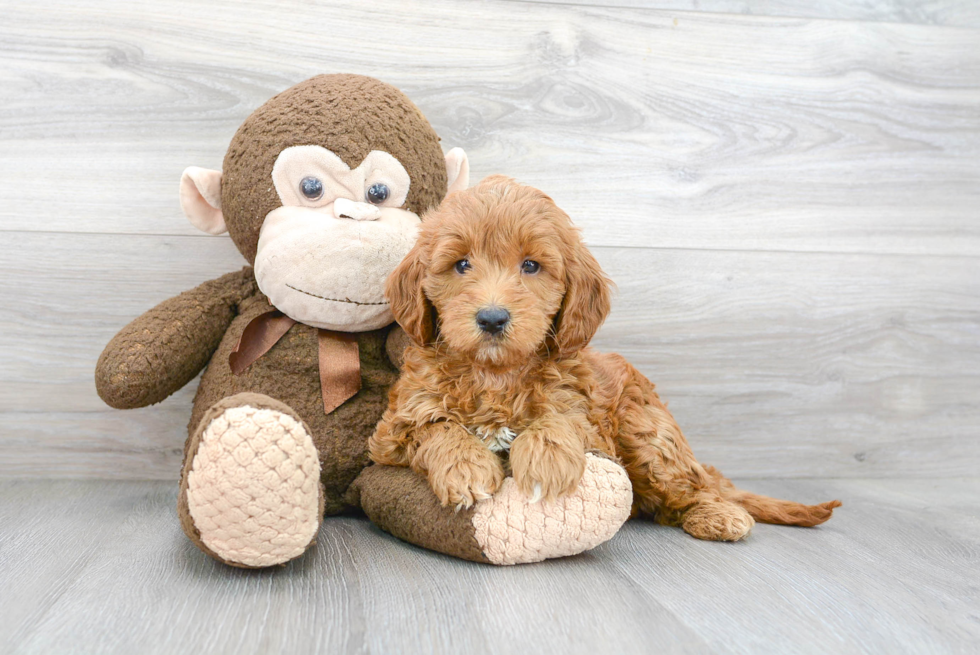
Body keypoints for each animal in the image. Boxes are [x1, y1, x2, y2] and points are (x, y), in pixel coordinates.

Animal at [370, 176, 844, 544]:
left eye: (531, 265)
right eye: (462, 264)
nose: (491, 318)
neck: (496, 374)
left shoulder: (591, 423)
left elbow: (559, 420)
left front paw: (545, 461)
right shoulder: (395, 429)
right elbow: (436, 428)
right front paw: (465, 468)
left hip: (647, 434)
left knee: (688, 488)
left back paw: (718, 515)